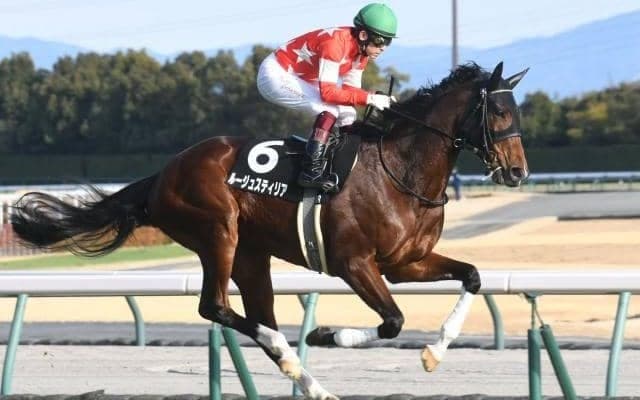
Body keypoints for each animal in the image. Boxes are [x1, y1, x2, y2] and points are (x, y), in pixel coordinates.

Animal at [11, 61, 529, 400]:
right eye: (500, 114)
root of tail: (161, 175)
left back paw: (311, 382)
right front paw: (325, 334)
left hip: (252, 255)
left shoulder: (404, 263)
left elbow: (472, 276)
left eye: (518, 112)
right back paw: (291, 351)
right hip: (218, 232)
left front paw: (434, 353)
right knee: (216, 307)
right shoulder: (355, 263)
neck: (400, 169)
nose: (518, 172)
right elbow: (393, 321)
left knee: (256, 315)